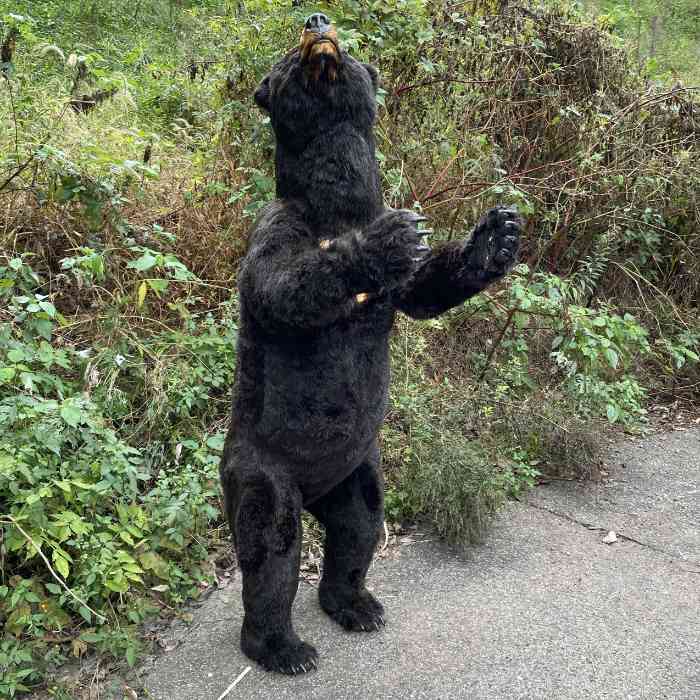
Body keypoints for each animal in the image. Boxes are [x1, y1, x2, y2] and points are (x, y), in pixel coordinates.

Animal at [219, 12, 521, 675]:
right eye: (287, 56)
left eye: (348, 43)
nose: (317, 23)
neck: (340, 207)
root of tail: (313, 492)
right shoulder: (278, 227)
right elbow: (283, 287)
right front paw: (382, 240)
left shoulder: (401, 282)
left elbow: (426, 288)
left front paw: (497, 235)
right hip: (261, 465)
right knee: (271, 548)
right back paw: (284, 648)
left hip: (358, 470)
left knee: (359, 528)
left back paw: (356, 605)